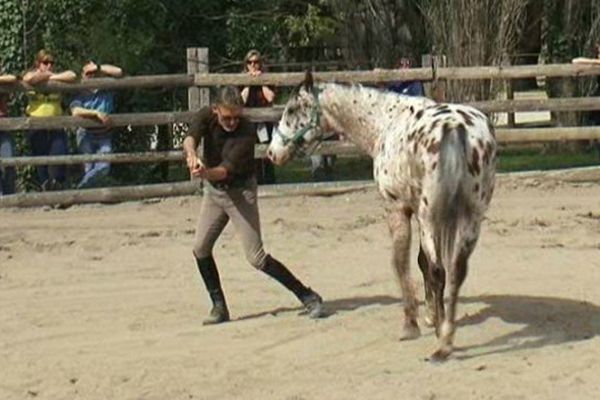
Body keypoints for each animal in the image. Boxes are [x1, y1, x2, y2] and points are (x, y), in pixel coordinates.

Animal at [268, 72, 496, 362]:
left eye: (292, 109)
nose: (272, 152)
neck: (386, 122)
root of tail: (457, 129)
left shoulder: (397, 208)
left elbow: (401, 263)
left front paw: (411, 324)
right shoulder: (415, 211)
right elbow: (421, 262)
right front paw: (432, 316)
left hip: (432, 217)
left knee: (439, 270)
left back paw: (441, 345)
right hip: (470, 219)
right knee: (455, 270)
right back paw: (446, 336)